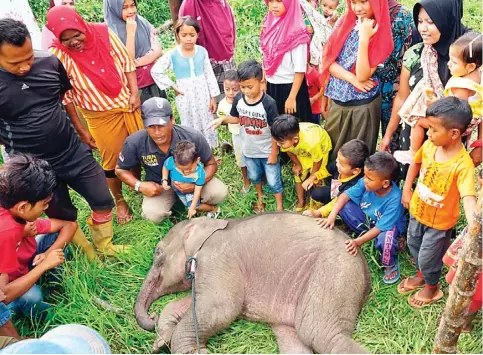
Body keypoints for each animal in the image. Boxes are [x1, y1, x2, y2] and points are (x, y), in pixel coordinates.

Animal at [133, 213, 370, 354]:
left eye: (158, 253)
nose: (151, 316)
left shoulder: (217, 256)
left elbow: (222, 307)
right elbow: (189, 303)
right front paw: (160, 343)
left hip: (334, 272)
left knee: (321, 334)